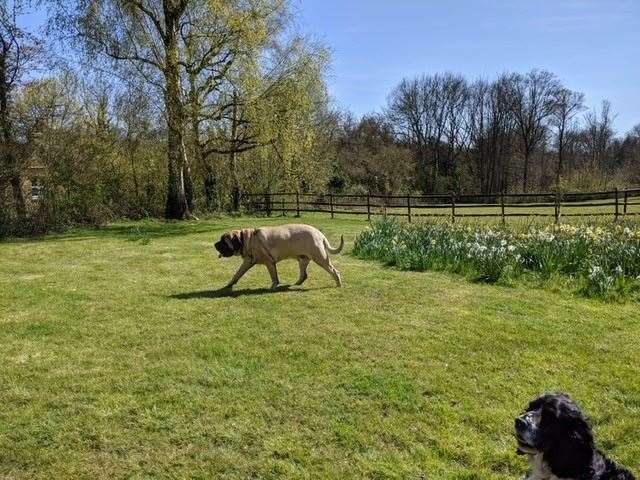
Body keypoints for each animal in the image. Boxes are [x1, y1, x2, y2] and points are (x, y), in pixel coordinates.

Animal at [214, 224, 344, 288]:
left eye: (223, 241)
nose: (215, 244)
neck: (248, 240)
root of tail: (320, 234)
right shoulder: (247, 262)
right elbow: (238, 273)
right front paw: (230, 284)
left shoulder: (269, 263)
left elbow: (274, 277)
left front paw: (273, 286)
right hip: (303, 260)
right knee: (304, 275)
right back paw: (296, 283)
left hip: (320, 258)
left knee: (334, 271)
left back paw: (338, 284)